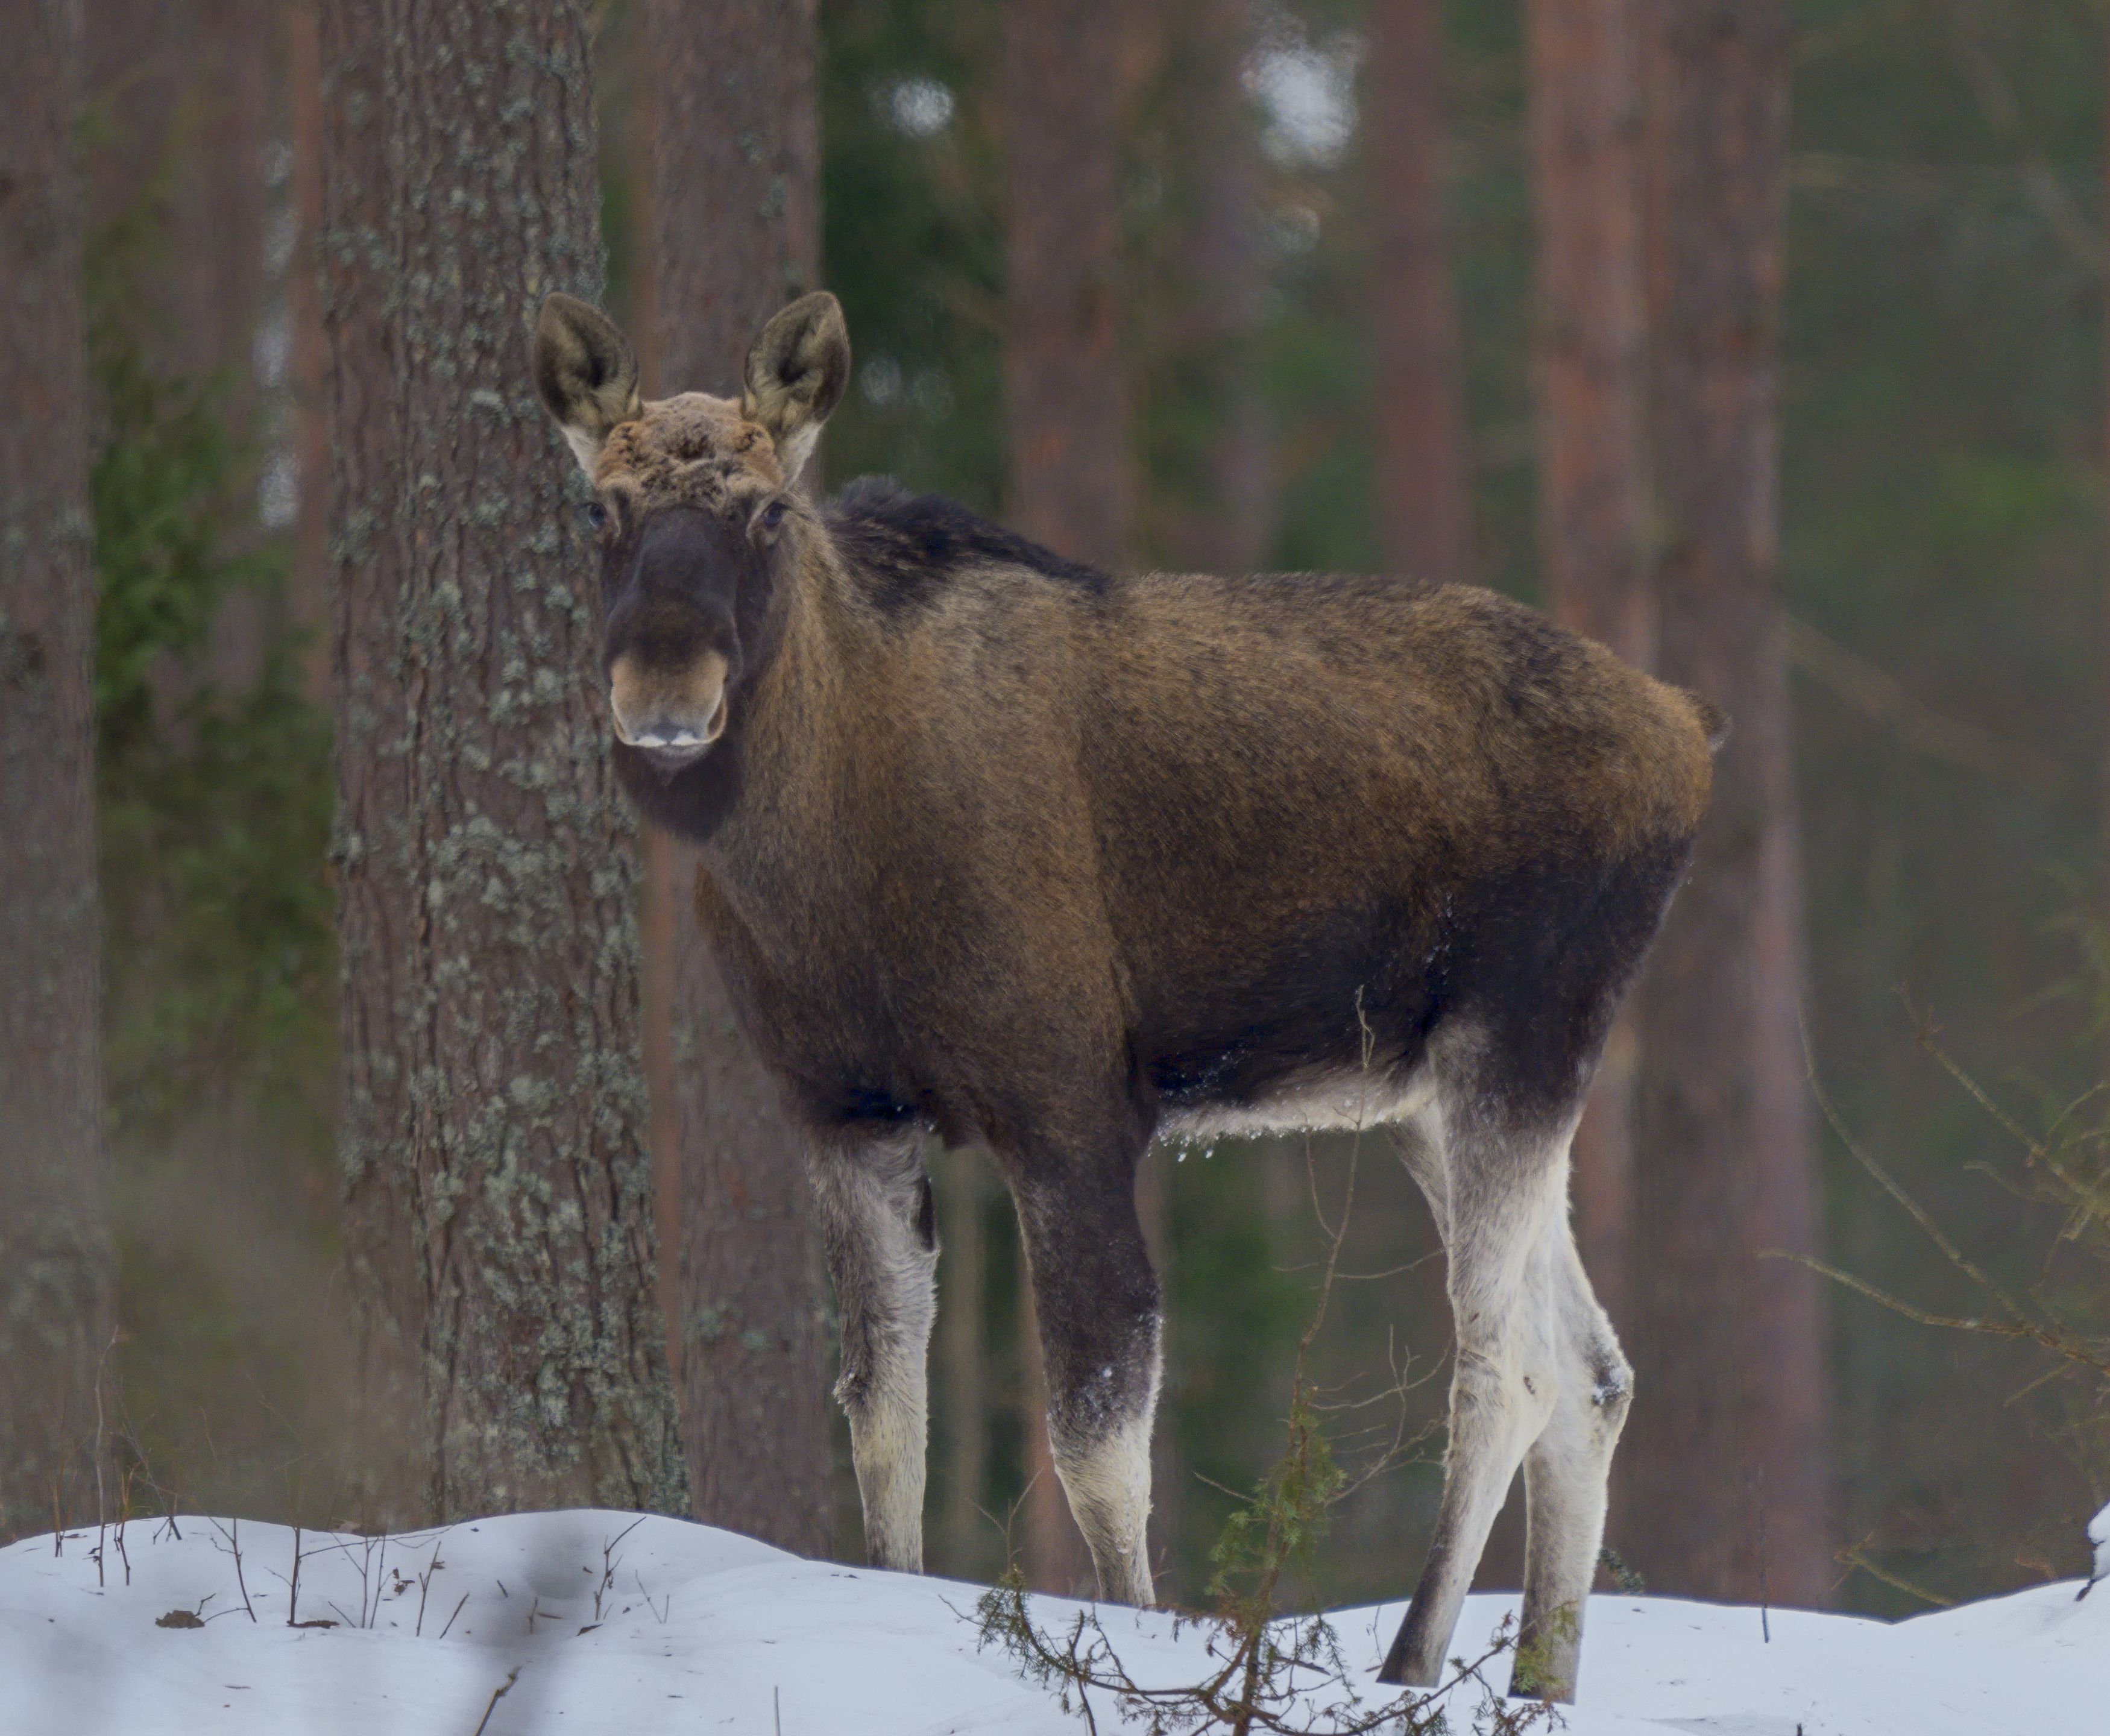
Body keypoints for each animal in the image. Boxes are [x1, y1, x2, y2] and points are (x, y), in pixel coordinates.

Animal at [536, 291, 1722, 1704]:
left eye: (768, 511)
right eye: (597, 510)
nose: (664, 696)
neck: (817, 863)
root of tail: (1690, 735)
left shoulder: (1067, 1103)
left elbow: (1098, 1436)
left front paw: (1132, 1651)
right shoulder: (844, 1114)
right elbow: (883, 1412)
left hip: (1520, 1032)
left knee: (1512, 1370)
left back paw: (1409, 1661)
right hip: (1436, 1092)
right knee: (1596, 1372)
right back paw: (1538, 1680)